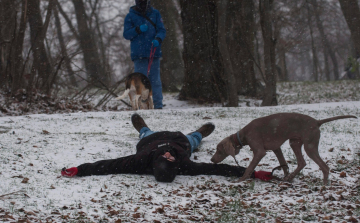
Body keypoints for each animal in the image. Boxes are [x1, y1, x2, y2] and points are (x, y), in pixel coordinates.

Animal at [211, 113, 358, 185]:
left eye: (218, 150)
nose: (212, 160)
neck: (243, 135)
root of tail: (317, 122)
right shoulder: (277, 148)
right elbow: (284, 165)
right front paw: (285, 176)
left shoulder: (259, 151)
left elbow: (249, 167)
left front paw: (240, 180)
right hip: (295, 142)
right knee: (302, 162)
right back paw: (290, 178)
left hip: (309, 146)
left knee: (324, 167)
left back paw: (324, 185)